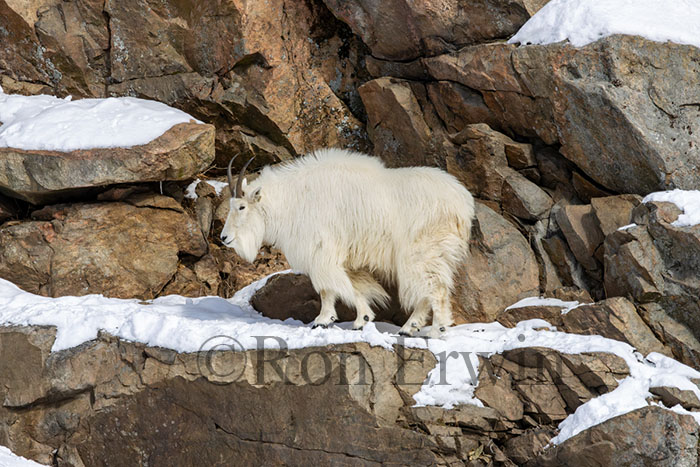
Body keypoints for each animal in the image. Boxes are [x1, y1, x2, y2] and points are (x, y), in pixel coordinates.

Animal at [220, 148, 475, 337]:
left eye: (241, 207)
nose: (224, 238)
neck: (294, 200)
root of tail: (463, 203)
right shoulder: (346, 259)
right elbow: (352, 286)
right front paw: (357, 319)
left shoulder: (322, 250)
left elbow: (328, 287)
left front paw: (327, 320)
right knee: (428, 290)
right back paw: (408, 328)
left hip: (421, 253)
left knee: (435, 289)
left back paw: (435, 330)